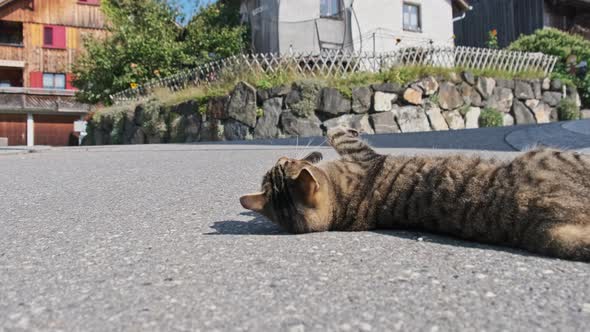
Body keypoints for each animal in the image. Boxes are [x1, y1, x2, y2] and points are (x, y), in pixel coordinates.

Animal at [239, 127, 590, 262]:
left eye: (283, 162)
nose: (284, 155)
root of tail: (539, 231)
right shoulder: (363, 156)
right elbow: (338, 134)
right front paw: (332, 128)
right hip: (556, 156)